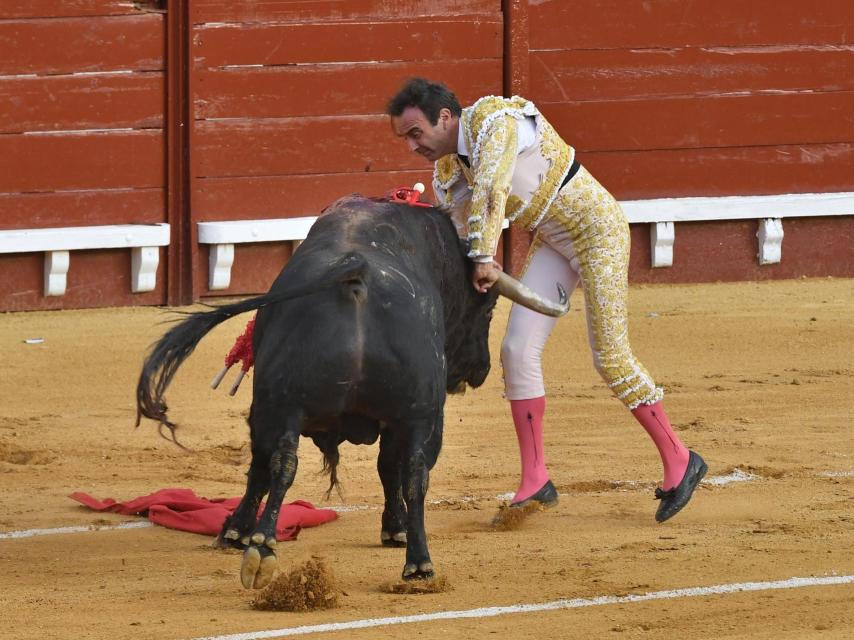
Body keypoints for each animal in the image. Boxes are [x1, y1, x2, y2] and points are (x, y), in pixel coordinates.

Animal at [135, 195, 568, 592]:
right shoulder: (401, 418)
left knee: (278, 462)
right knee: (413, 473)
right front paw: (396, 530)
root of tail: (357, 275)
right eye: (489, 305)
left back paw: (262, 547)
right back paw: (419, 564)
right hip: (420, 414)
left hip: (281, 404)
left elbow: (266, 468)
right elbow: (390, 469)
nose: (480, 369)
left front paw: (236, 532)